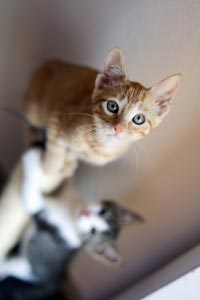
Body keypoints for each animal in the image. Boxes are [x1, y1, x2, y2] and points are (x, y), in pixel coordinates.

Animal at [23, 47, 180, 192]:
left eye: (139, 118)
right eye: (112, 106)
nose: (118, 128)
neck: (101, 146)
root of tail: (52, 61)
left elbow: (72, 153)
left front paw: (68, 163)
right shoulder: (57, 116)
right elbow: (55, 153)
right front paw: (48, 173)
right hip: (34, 111)